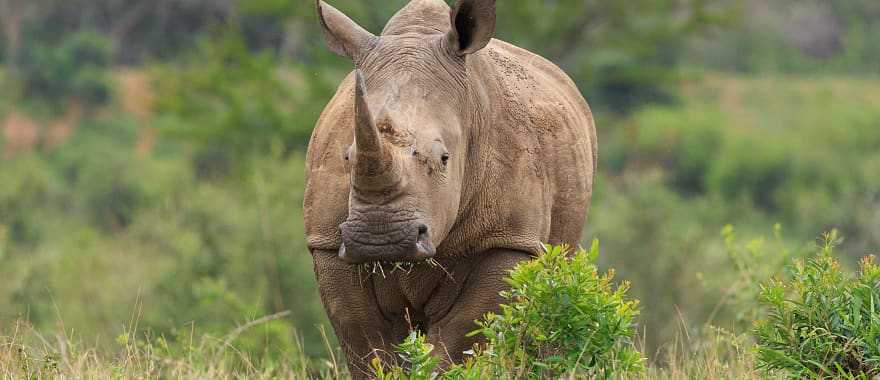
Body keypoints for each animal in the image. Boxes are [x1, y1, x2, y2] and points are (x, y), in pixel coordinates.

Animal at [302, 0, 600, 376]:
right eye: (346, 157)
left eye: (444, 159)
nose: (380, 239)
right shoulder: (328, 242)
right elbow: (366, 345)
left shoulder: (506, 239)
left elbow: (461, 342)